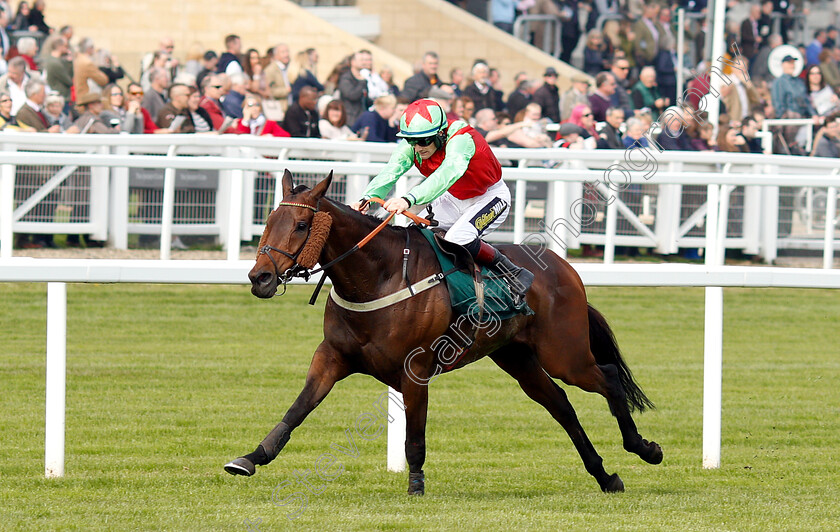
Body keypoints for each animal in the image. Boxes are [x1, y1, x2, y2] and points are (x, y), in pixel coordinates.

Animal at [225, 170, 664, 494]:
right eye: (269, 221)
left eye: (301, 224)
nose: (260, 278)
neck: (378, 275)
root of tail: (563, 267)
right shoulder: (332, 357)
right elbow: (297, 409)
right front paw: (251, 458)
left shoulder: (415, 370)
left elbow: (414, 436)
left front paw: (416, 486)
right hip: (517, 357)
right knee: (561, 404)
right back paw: (605, 476)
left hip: (564, 354)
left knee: (608, 378)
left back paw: (644, 448)